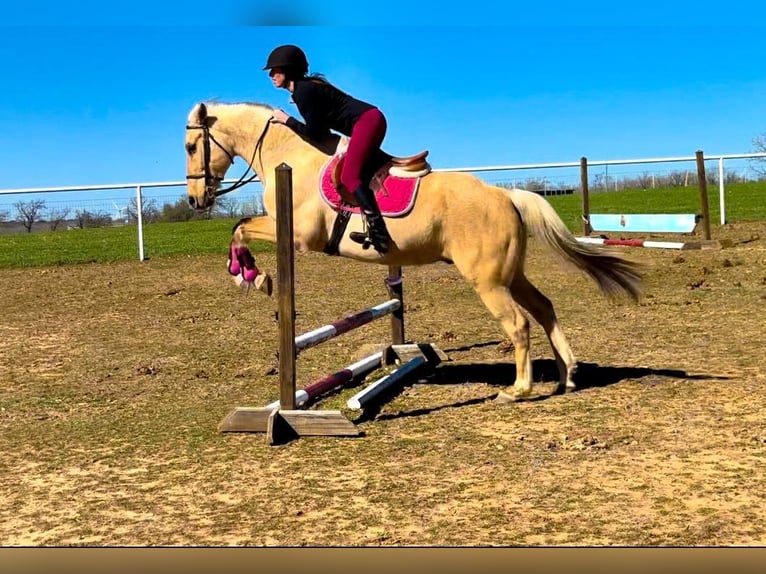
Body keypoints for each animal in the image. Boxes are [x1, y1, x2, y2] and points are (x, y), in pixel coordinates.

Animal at [184, 101, 640, 402]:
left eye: (190, 147)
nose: (194, 200)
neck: (291, 156)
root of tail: (505, 194)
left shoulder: (298, 235)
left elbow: (241, 228)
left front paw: (254, 275)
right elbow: (239, 228)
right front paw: (249, 274)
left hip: (488, 280)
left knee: (518, 323)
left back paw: (519, 389)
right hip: (511, 274)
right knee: (544, 308)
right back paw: (567, 375)